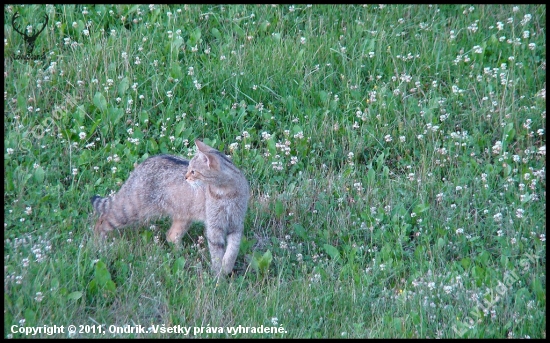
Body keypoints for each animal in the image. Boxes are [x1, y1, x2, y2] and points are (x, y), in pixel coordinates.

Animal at [91, 140, 251, 276]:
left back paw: (183, 256)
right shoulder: (214, 226)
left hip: (183, 216)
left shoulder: (236, 224)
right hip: (130, 210)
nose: (185, 177)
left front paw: (226, 268)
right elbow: (217, 253)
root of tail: (141, 165)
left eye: (193, 171)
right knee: (102, 220)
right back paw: (98, 245)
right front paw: (218, 276)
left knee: (171, 236)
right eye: (189, 169)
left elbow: (232, 251)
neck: (226, 192)